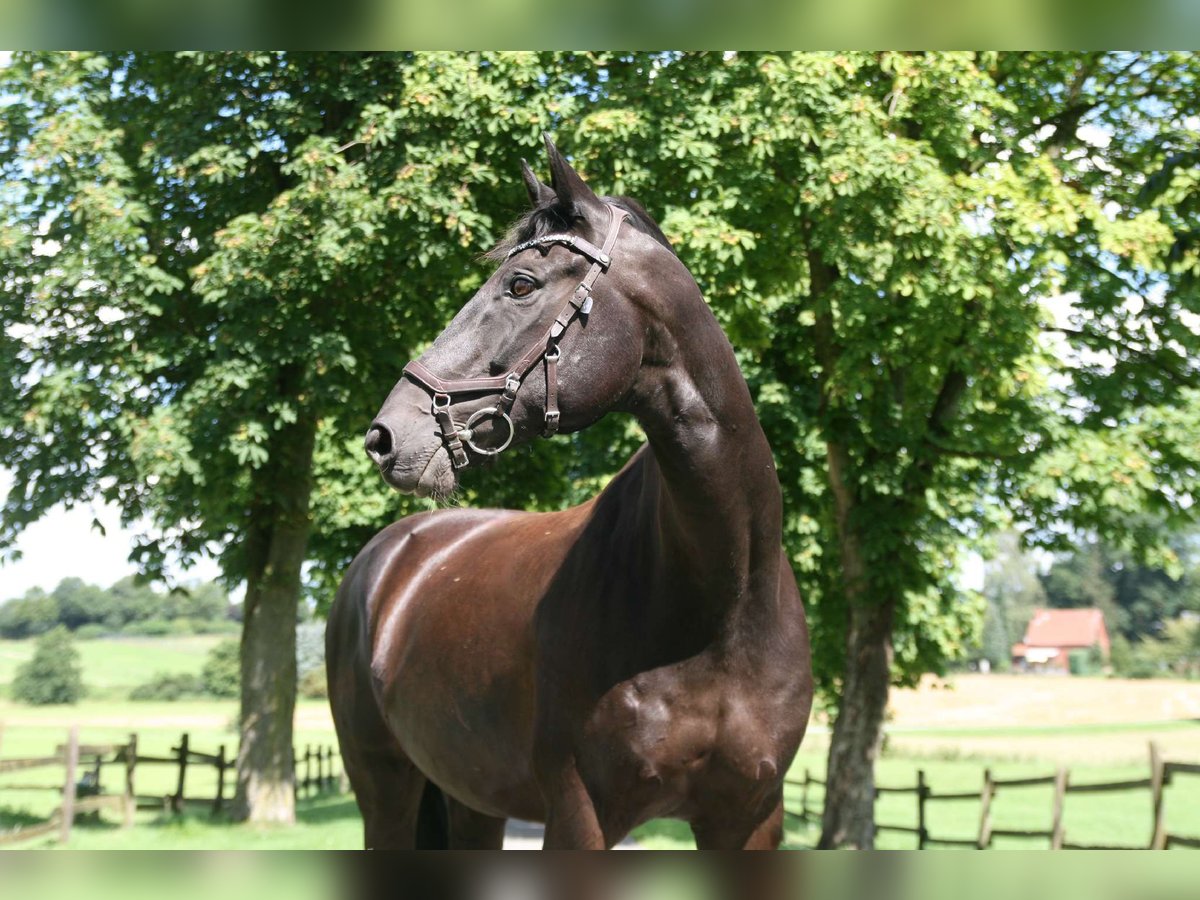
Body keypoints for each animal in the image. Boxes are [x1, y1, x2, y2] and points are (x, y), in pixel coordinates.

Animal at [328, 135, 816, 854]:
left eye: (521, 284)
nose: (386, 436)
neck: (722, 603)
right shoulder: (578, 814)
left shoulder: (750, 817)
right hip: (383, 790)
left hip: (473, 800)